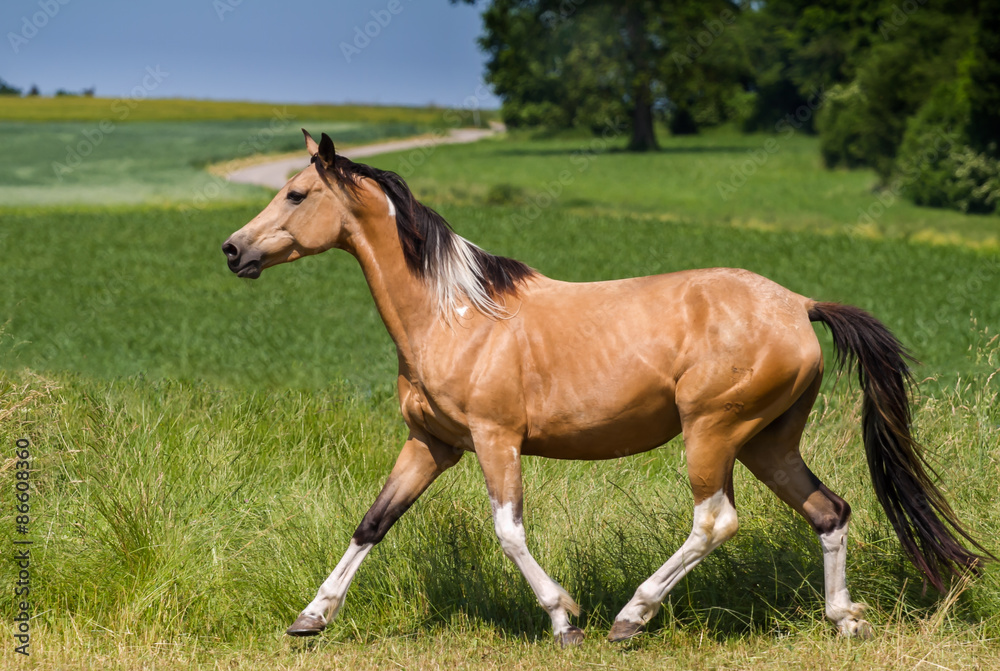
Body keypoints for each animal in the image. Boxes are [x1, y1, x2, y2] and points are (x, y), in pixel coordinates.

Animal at [221, 131, 992, 644]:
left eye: (295, 193)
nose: (233, 250)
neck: (456, 315)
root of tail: (799, 305)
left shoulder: (495, 440)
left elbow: (508, 530)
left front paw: (564, 617)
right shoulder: (431, 444)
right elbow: (373, 521)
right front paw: (310, 618)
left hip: (712, 431)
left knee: (715, 520)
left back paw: (630, 616)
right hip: (766, 441)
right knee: (829, 510)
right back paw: (844, 620)